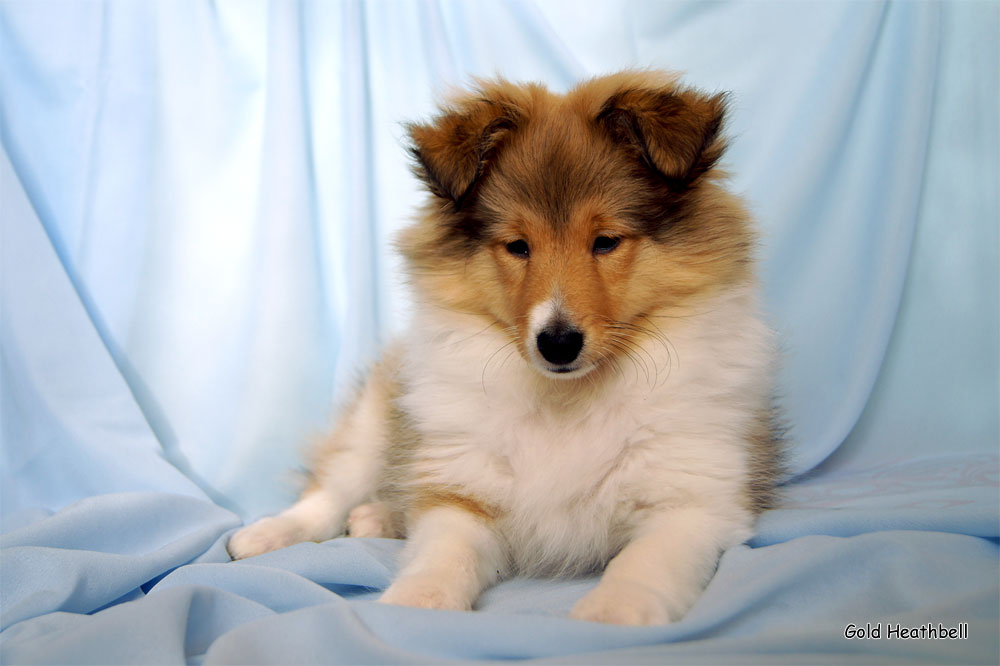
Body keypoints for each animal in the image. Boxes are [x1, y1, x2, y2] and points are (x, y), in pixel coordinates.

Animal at [230, 71, 784, 624]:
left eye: (606, 241)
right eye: (518, 246)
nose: (557, 344)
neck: (567, 400)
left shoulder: (693, 500)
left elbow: (644, 563)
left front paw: (611, 613)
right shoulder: (463, 490)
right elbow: (443, 555)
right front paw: (417, 604)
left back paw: (376, 517)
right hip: (379, 416)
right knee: (331, 489)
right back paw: (265, 535)